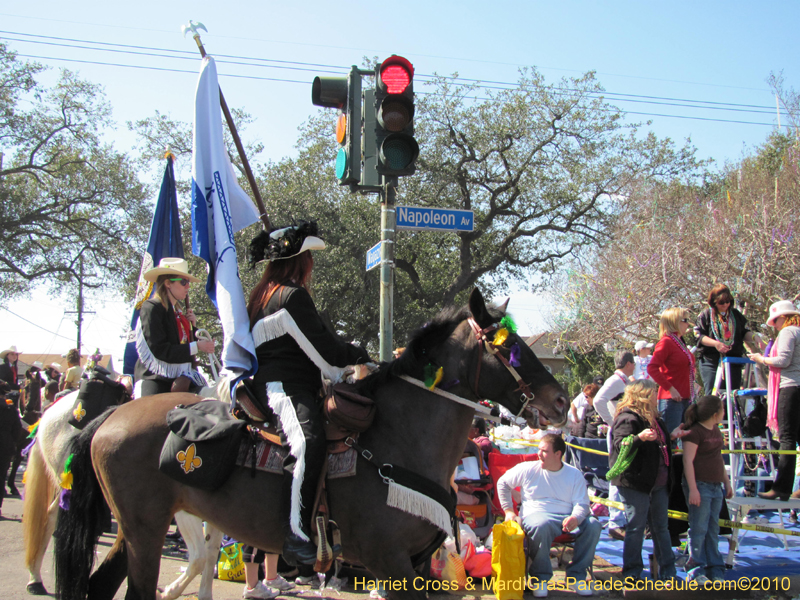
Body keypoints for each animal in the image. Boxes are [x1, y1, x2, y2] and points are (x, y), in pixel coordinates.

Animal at [53, 288, 564, 596]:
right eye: (509, 346)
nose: (559, 400)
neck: (398, 441)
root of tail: (113, 415)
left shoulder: (414, 565)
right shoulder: (389, 560)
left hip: (136, 529)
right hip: (146, 530)